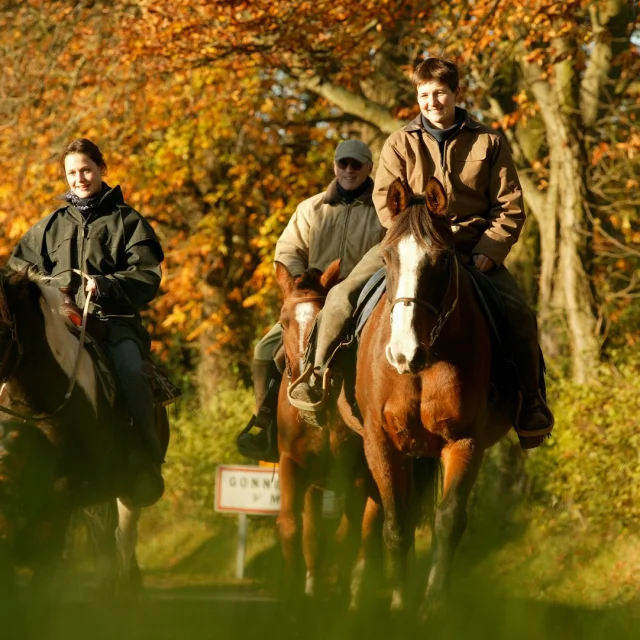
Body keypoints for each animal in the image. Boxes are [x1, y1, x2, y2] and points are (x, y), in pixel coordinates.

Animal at [276, 262, 380, 608]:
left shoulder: (358, 475)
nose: (306, 390)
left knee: (372, 532)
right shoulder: (293, 464)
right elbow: (293, 527)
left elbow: (347, 535)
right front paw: (295, 599)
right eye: (283, 321)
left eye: (324, 318)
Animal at [356, 178, 516, 616]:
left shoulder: (464, 442)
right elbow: (395, 524)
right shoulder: (381, 443)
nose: (403, 353)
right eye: (386, 257)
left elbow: (448, 521)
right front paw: (399, 603)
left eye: (443, 260)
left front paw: (433, 606)